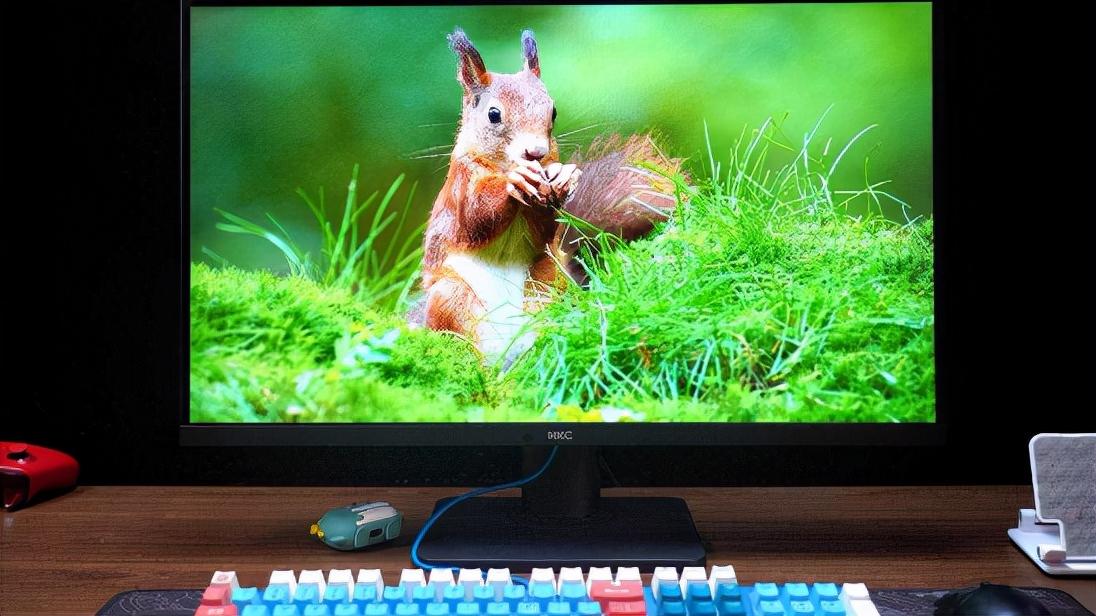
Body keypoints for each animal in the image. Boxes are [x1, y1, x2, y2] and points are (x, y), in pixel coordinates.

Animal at [414, 28, 679, 363]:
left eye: (553, 111)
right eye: (493, 114)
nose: (536, 152)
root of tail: (507, 348)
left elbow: (544, 228)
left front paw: (564, 177)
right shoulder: (460, 184)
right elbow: (475, 219)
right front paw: (513, 182)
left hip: (547, 284)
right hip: (450, 297)